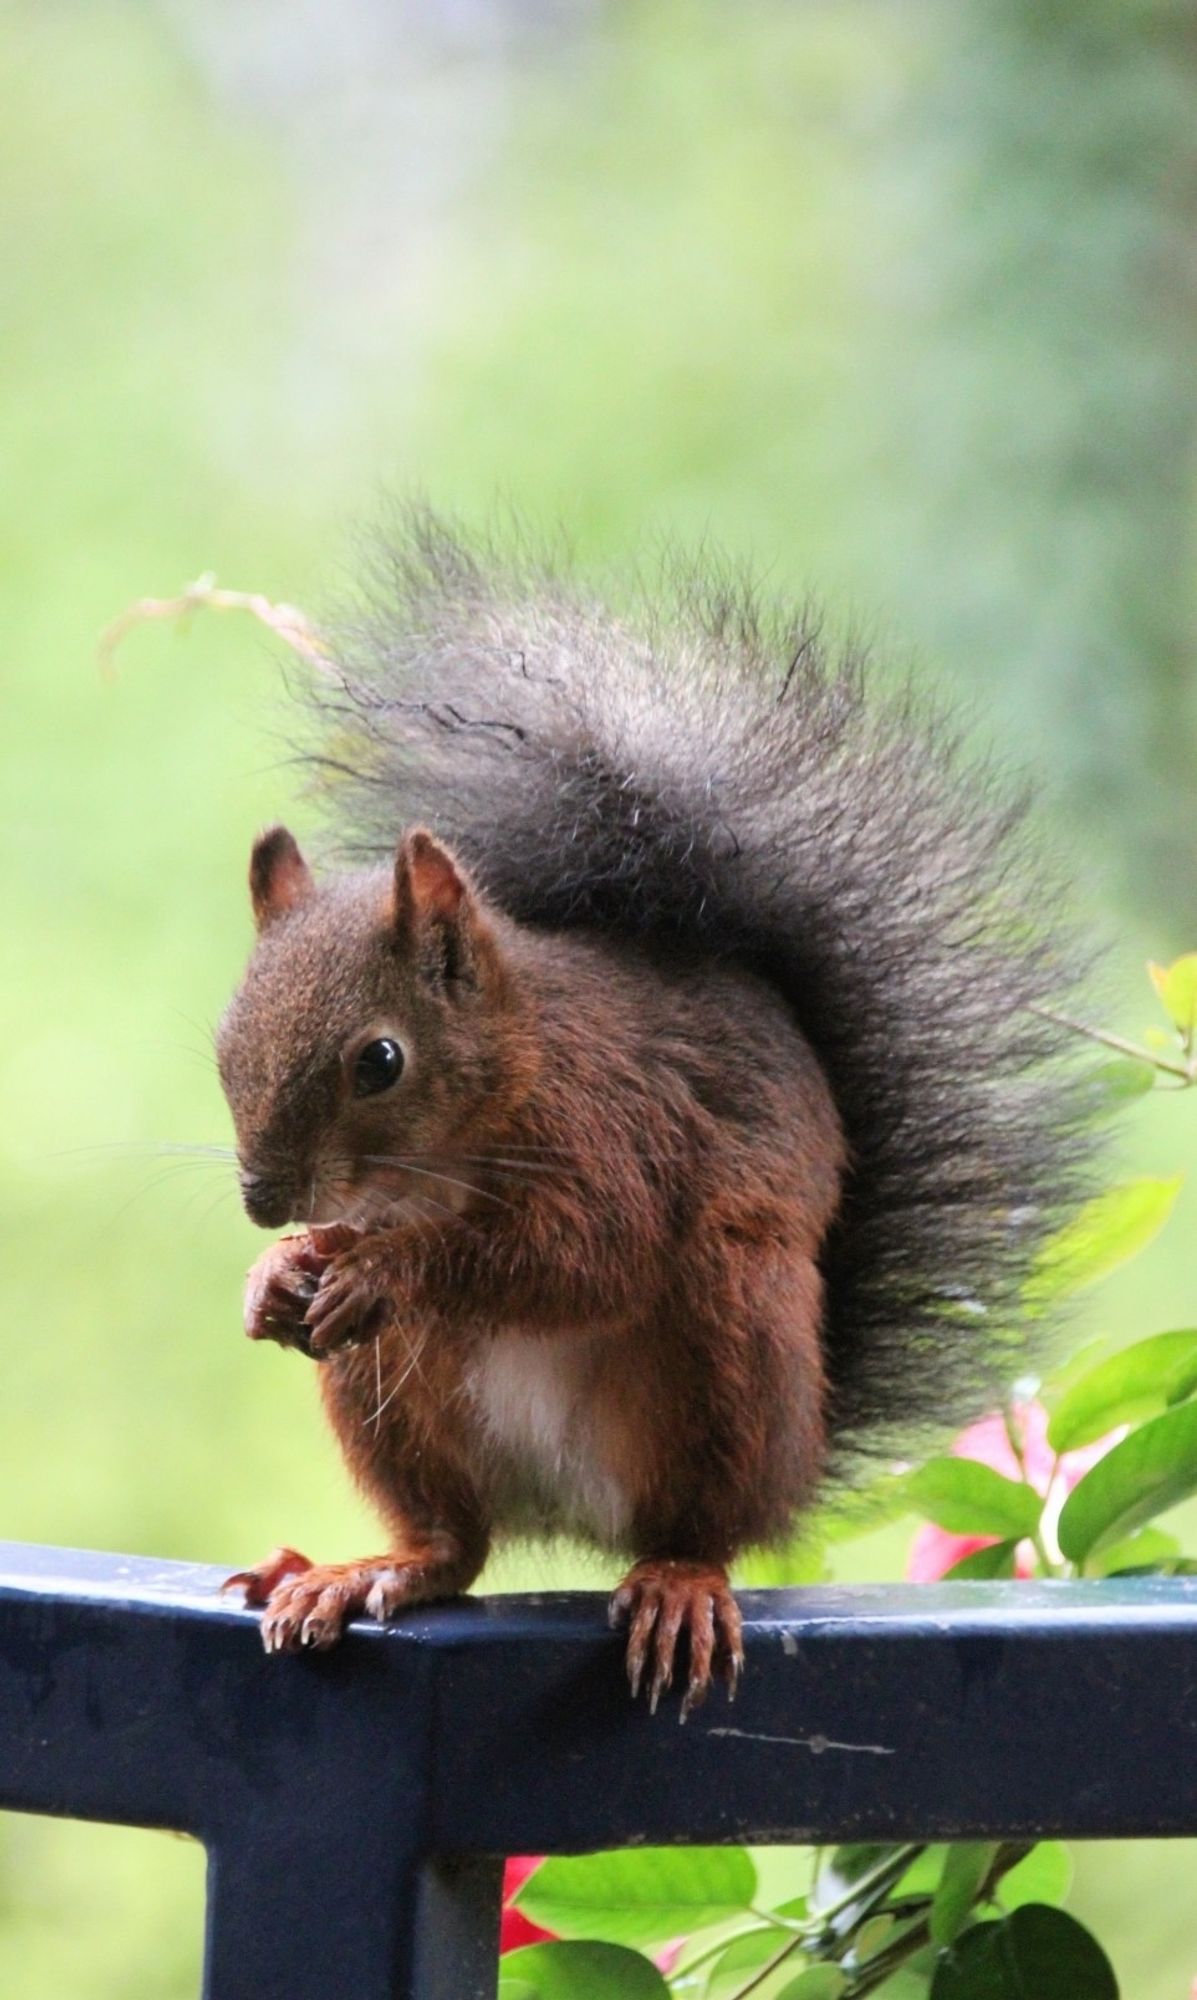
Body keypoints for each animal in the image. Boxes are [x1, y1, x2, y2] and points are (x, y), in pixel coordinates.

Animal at [216, 516, 1088, 1720]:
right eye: (226, 1039)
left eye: (379, 1061)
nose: (262, 1203)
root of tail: (573, 1514)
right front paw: (280, 1273)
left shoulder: (618, 1131)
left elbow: (584, 1252)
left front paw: (388, 1269)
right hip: (389, 1396)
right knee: (453, 1543)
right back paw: (368, 1565)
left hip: (732, 1334)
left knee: (702, 1523)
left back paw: (678, 1580)